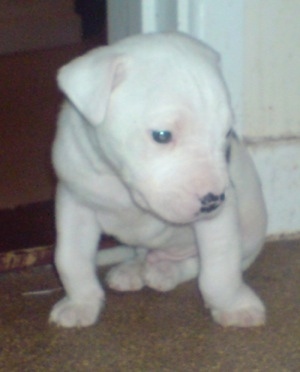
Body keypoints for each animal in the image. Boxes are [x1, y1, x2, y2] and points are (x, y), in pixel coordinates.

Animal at [49, 32, 268, 328]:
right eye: (162, 135)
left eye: (226, 135)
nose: (213, 201)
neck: (119, 181)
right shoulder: (75, 202)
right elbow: (70, 258)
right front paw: (80, 304)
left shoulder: (220, 220)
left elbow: (219, 269)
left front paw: (234, 306)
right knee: (142, 255)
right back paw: (132, 269)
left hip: (250, 239)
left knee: (195, 265)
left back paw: (165, 270)